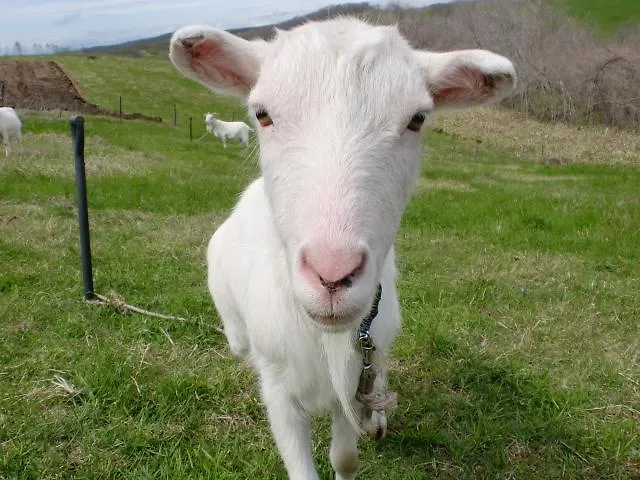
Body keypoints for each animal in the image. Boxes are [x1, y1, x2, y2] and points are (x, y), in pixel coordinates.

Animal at [169, 16, 516, 478]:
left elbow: (345, 456)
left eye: (418, 119)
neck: (325, 336)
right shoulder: (278, 388)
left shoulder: (353, 377)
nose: (332, 274)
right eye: (262, 114)